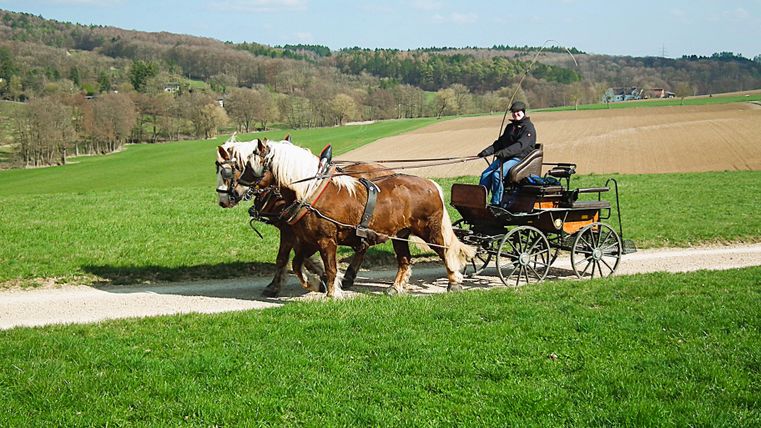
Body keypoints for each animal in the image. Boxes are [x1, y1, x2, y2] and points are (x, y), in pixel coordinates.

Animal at [215, 137, 394, 297]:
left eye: (227, 171)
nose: (224, 200)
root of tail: (389, 170)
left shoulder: (290, 230)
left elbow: (284, 258)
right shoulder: (297, 232)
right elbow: (293, 257)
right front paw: (318, 277)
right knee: (363, 246)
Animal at [243, 139, 475, 297]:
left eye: (251, 165)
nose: (238, 191)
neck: (310, 192)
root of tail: (430, 183)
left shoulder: (326, 240)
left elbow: (329, 267)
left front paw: (332, 292)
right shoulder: (307, 241)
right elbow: (295, 263)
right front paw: (316, 284)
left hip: (430, 230)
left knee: (445, 251)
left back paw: (453, 281)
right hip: (400, 234)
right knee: (404, 261)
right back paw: (394, 287)